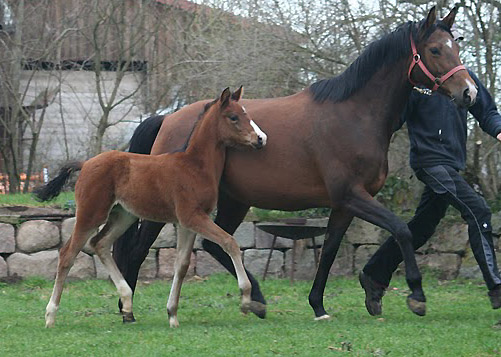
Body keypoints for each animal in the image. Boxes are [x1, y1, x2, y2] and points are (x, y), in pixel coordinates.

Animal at [35, 87, 268, 326]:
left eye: (246, 113)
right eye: (233, 117)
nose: (260, 139)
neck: (194, 166)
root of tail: (86, 163)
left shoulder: (187, 223)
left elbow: (182, 264)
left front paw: (172, 314)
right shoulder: (192, 217)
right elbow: (229, 242)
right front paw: (246, 298)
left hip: (124, 216)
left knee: (99, 243)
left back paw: (127, 302)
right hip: (91, 214)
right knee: (68, 254)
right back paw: (50, 316)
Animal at [112, 7, 472, 320]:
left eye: (457, 46)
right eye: (436, 49)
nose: (468, 92)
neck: (355, 116)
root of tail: (167, 118)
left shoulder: (343, 205)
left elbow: (329, 251)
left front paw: (318, 306)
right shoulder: (352, 195)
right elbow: (401, 230)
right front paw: (417, 296)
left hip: (235, 200)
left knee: (216, 243)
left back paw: (256, 300)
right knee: (139, 249)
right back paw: (127, 309)